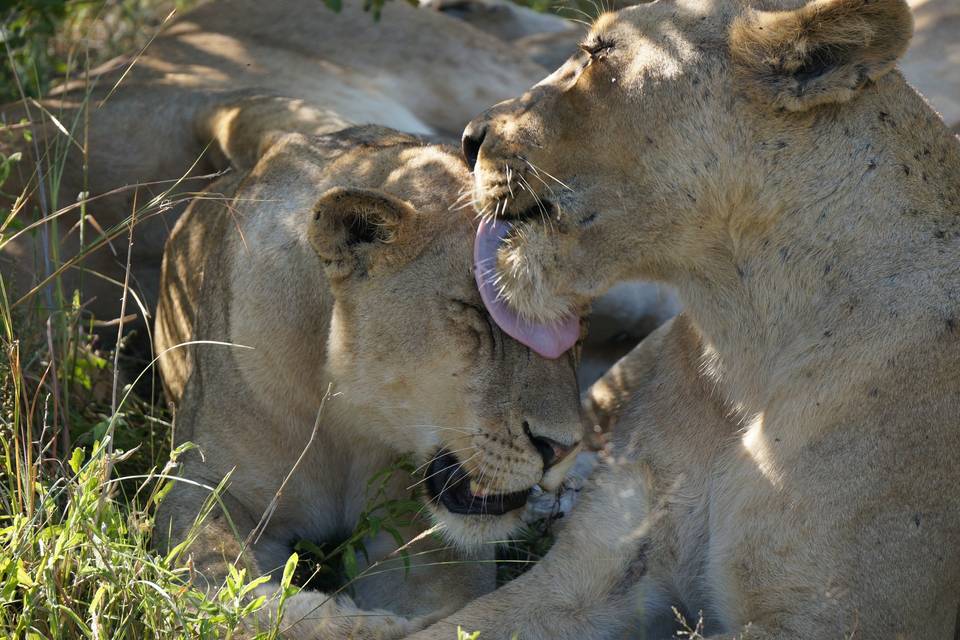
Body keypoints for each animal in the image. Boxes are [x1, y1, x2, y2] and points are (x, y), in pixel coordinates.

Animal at [155, 97, 584, 636]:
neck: (344, 416)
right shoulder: (207, 486)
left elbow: (449, 606)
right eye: (479, 310)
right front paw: (359, 623)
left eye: (576, 321)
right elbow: (226, 590)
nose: (562, 449)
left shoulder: (417, 532)